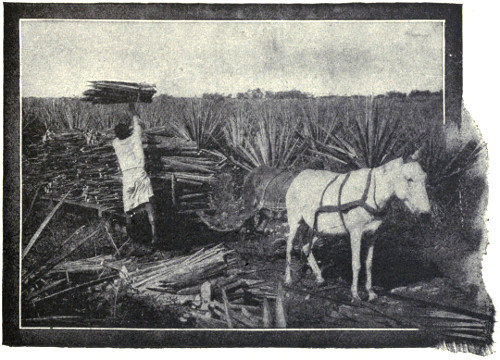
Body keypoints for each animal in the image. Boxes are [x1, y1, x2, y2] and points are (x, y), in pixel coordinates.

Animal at [284, 155, 432, 300]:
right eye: (409, 179)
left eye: (425, 178)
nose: (426, 214)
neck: (371, 193)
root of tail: (299, 176)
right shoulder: (356, 233)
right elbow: (356, 264)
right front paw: (355, 294)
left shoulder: (373, 234)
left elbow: (369, 264)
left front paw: (371, 293)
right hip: (295, 221)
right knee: (289, 246)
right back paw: (288, 279)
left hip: (320, 229)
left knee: (305, 247)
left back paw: (320, 278)